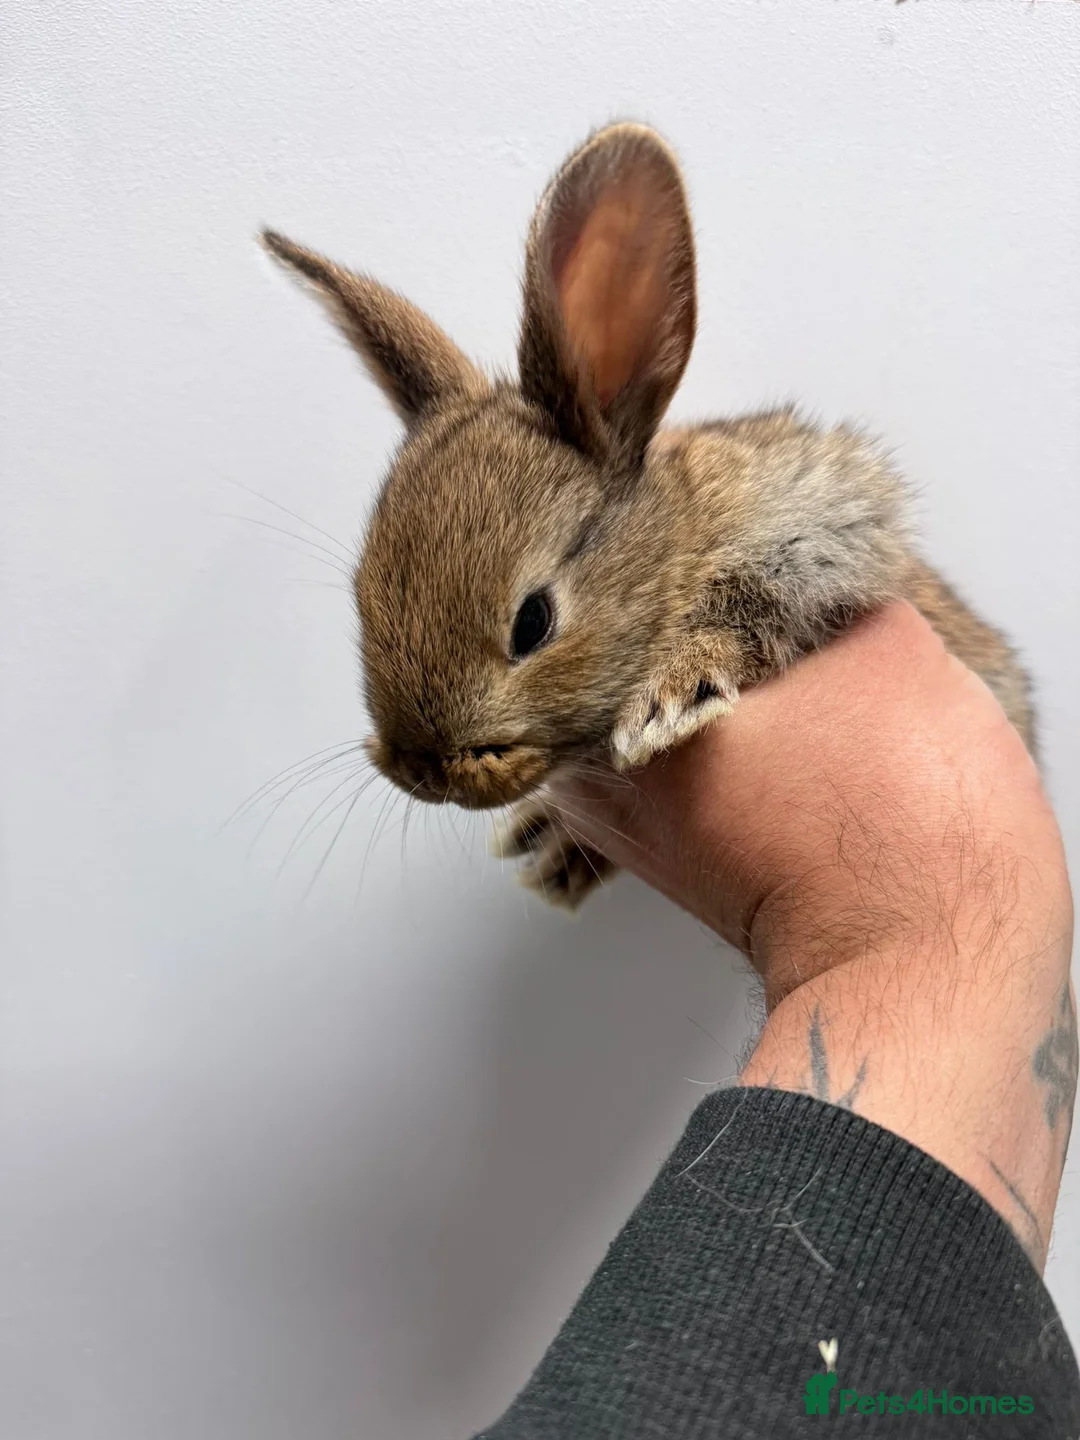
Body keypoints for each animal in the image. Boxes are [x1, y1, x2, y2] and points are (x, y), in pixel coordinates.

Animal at [261, 122, 1035, 909]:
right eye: (361, 597)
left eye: (533, 622)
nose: (425, 771)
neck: (674, 544)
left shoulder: (824, 533)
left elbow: (755, 610)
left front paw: (668, 701)